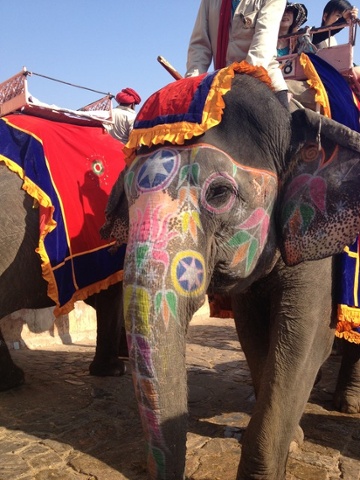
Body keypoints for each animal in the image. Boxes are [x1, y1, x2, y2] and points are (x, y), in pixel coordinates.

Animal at [103, 71, 360, 480]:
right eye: (126, 201)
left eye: (220, 193)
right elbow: (253, 332)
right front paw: (294, 438)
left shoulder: (317, 239)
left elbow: (306, 337)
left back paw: (346, 406)